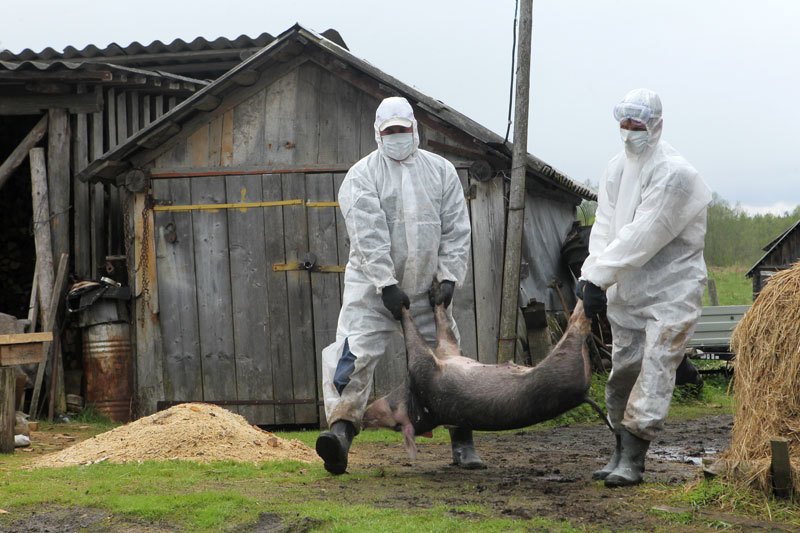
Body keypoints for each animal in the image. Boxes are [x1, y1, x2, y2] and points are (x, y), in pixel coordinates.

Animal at [362, 296, 592, 458]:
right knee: (577, 324)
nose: (363, 419)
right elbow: (417, 340)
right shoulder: (425, 370)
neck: (417, 401)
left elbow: (446, 335)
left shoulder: (447, 355)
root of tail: (582, 395)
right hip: (563, 359)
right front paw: (400, 303)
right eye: (395, 425)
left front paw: (437, 294)